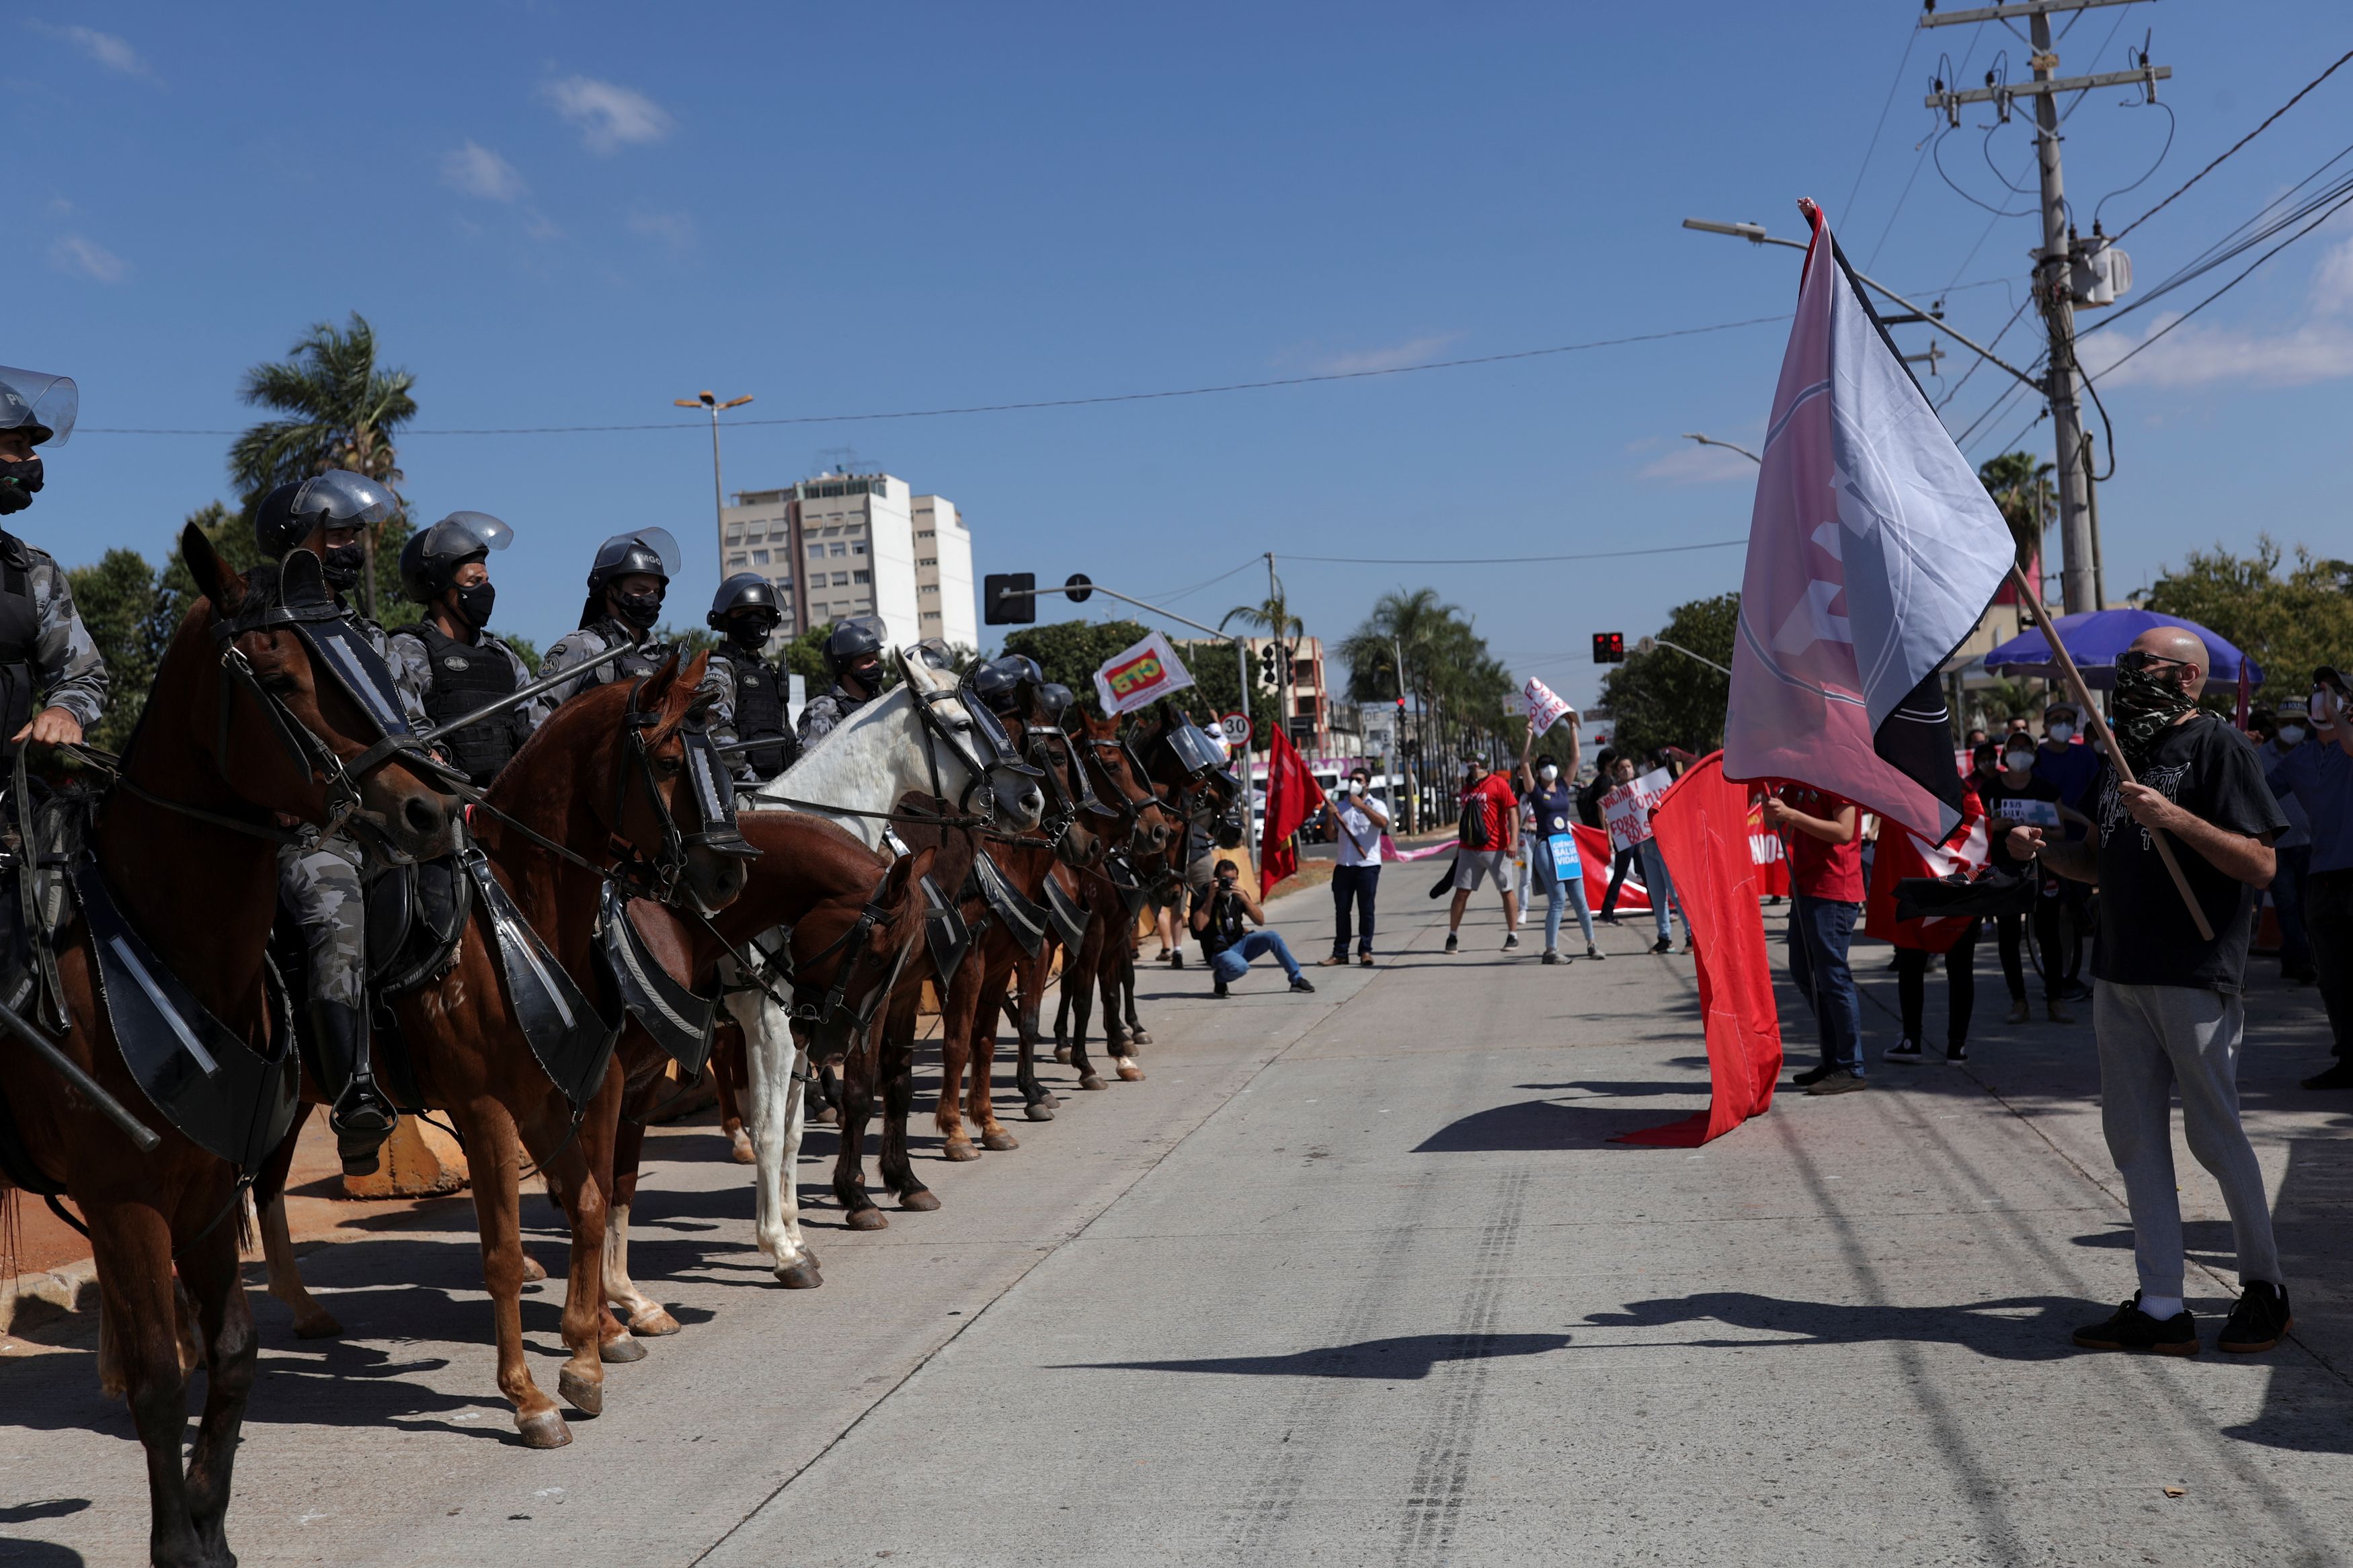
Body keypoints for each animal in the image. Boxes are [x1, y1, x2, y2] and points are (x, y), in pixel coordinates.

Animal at [0, 531, 461, 1568]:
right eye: (283, 677)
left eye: (374, 660)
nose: (429, 810)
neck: (161, 938)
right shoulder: (124, 1198)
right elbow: (160, 1376)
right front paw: (177, 1540)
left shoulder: (209, 1190)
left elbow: (235, 1354)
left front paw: (211, 1522)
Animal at [255, 658, 744, 1457]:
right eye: (671, 761)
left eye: (723, 761)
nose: (726, 877)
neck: (521, 916)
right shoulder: (489, 1108)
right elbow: (506, 1252)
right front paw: (529, 1395)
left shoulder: (563, 1090)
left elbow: (588, 1202)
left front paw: (587, 1352)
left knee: (261, 1186)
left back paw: (300, 1309)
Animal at [706, 644, 1040, 1297]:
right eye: (962, 724)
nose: (1031, 801)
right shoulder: (772, 1024)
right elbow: (773, 1126)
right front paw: (782, 1246)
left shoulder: (809, 1023)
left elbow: (793, 1128)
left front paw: (797, 1233)